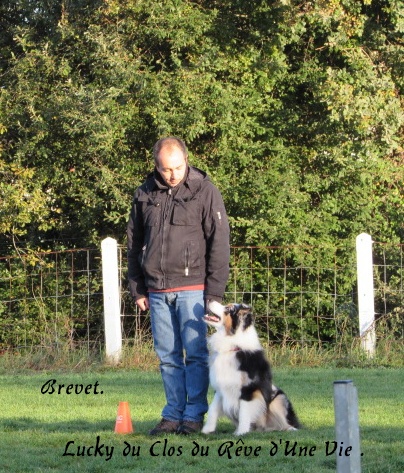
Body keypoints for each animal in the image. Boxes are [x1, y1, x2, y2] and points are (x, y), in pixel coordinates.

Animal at [202, 302, 300, 436]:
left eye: (228, 308)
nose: (210, 300)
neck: (233, 346)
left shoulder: (248, 389)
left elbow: (244, 412)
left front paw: (241, 432)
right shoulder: (221, 387)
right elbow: (212, 409)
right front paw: (207, 430)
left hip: (279, 398)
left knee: (286, 422)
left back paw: (290, 429)